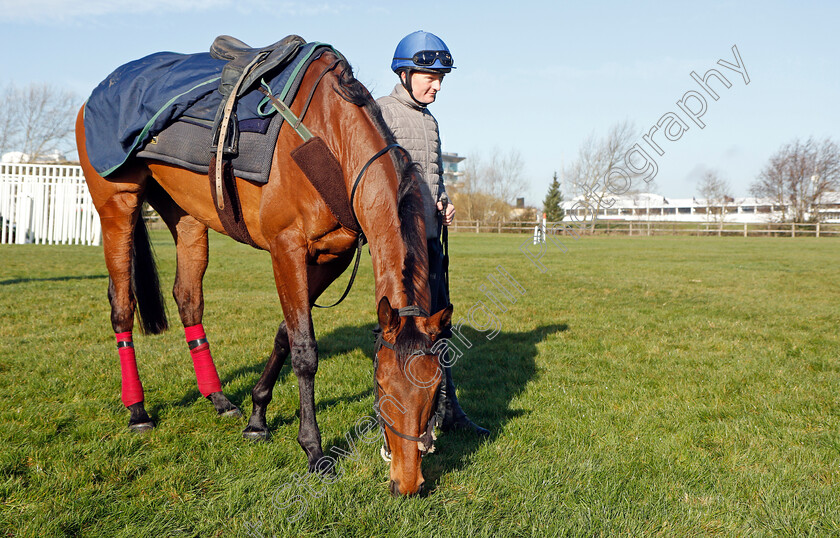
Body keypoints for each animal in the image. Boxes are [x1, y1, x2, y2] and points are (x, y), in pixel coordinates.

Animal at [74, 46, 450, 494]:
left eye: (435, 391)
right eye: (381, 386)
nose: (408, 482)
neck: (330, 136)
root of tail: (94, 95)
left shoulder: (331, 258)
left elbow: (285, 334)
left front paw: (256, 417)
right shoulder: (286, 248)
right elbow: (304, 351)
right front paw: (313, 450)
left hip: (186, 216)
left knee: (188, 299)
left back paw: (218, 399)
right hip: (119, 205)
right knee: (121, 305)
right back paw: (138, 411)